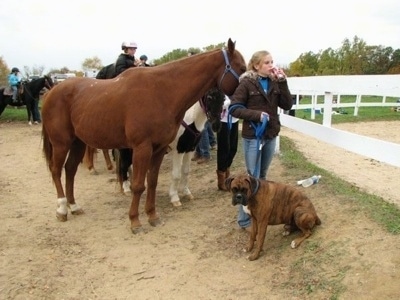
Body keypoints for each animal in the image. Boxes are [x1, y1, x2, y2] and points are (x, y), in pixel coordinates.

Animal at [41, 38, 247, 233]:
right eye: (243, 68)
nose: (217, 124)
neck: (161, 92)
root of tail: (51, 92)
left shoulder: (160, 148)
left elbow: (152, 182)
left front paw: (152, 216)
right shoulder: (143, 148)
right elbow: (139, 185)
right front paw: (135, 221)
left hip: (78, 142)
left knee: (70, 170)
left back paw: (74, 206)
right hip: (61, 143)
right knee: (56, 170)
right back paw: (62, 209)